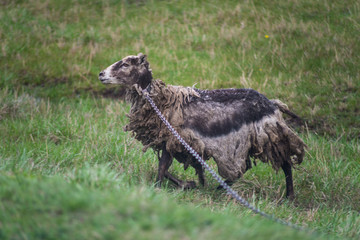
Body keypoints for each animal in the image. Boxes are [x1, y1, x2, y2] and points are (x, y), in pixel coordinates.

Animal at [99, 53, 306, 200]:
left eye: (126, 64)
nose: (101, 74)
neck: (160, 100)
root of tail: (273, 104)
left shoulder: (175, 139)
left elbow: (162, 167)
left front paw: (161, 188)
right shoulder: (171, 141)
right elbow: (164, 167)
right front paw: (186, 184)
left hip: (266, 138)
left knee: (282, 164)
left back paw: (288, 197)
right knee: (248, 166)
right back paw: (221, 187)